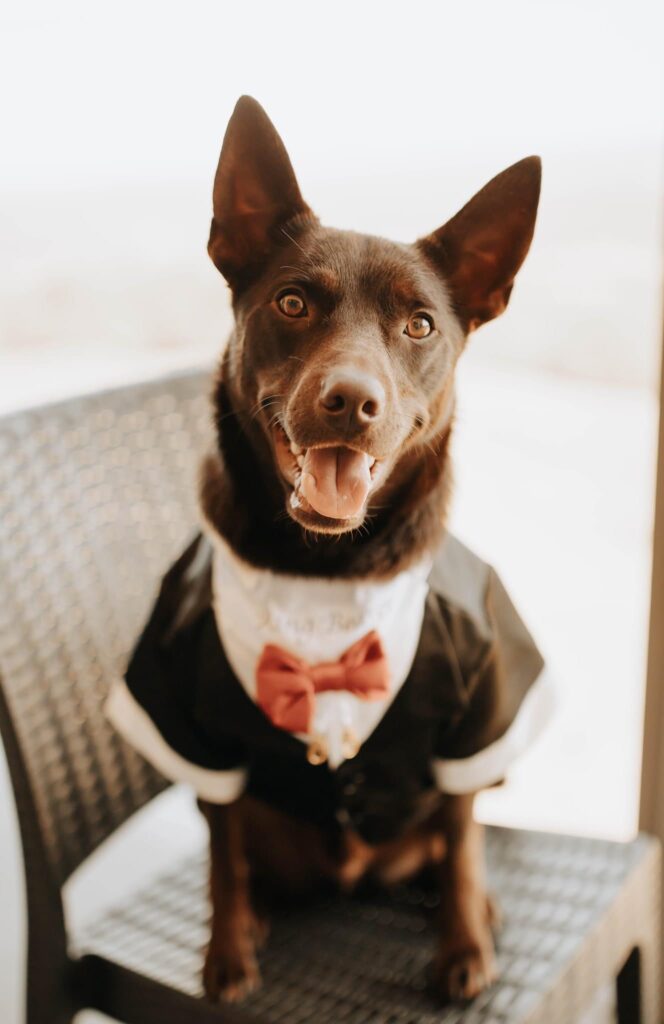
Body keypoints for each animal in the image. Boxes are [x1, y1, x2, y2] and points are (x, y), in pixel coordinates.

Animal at [107, 92, 545, 1003]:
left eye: (420, 324)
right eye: (293, 304)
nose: (351, 400)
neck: (326, 569)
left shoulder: (474, 715)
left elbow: (465, 841)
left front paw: (463, 949)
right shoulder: (197, 730)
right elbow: (222, 857)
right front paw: (226, 953)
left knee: (454, 844)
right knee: (242, 854)